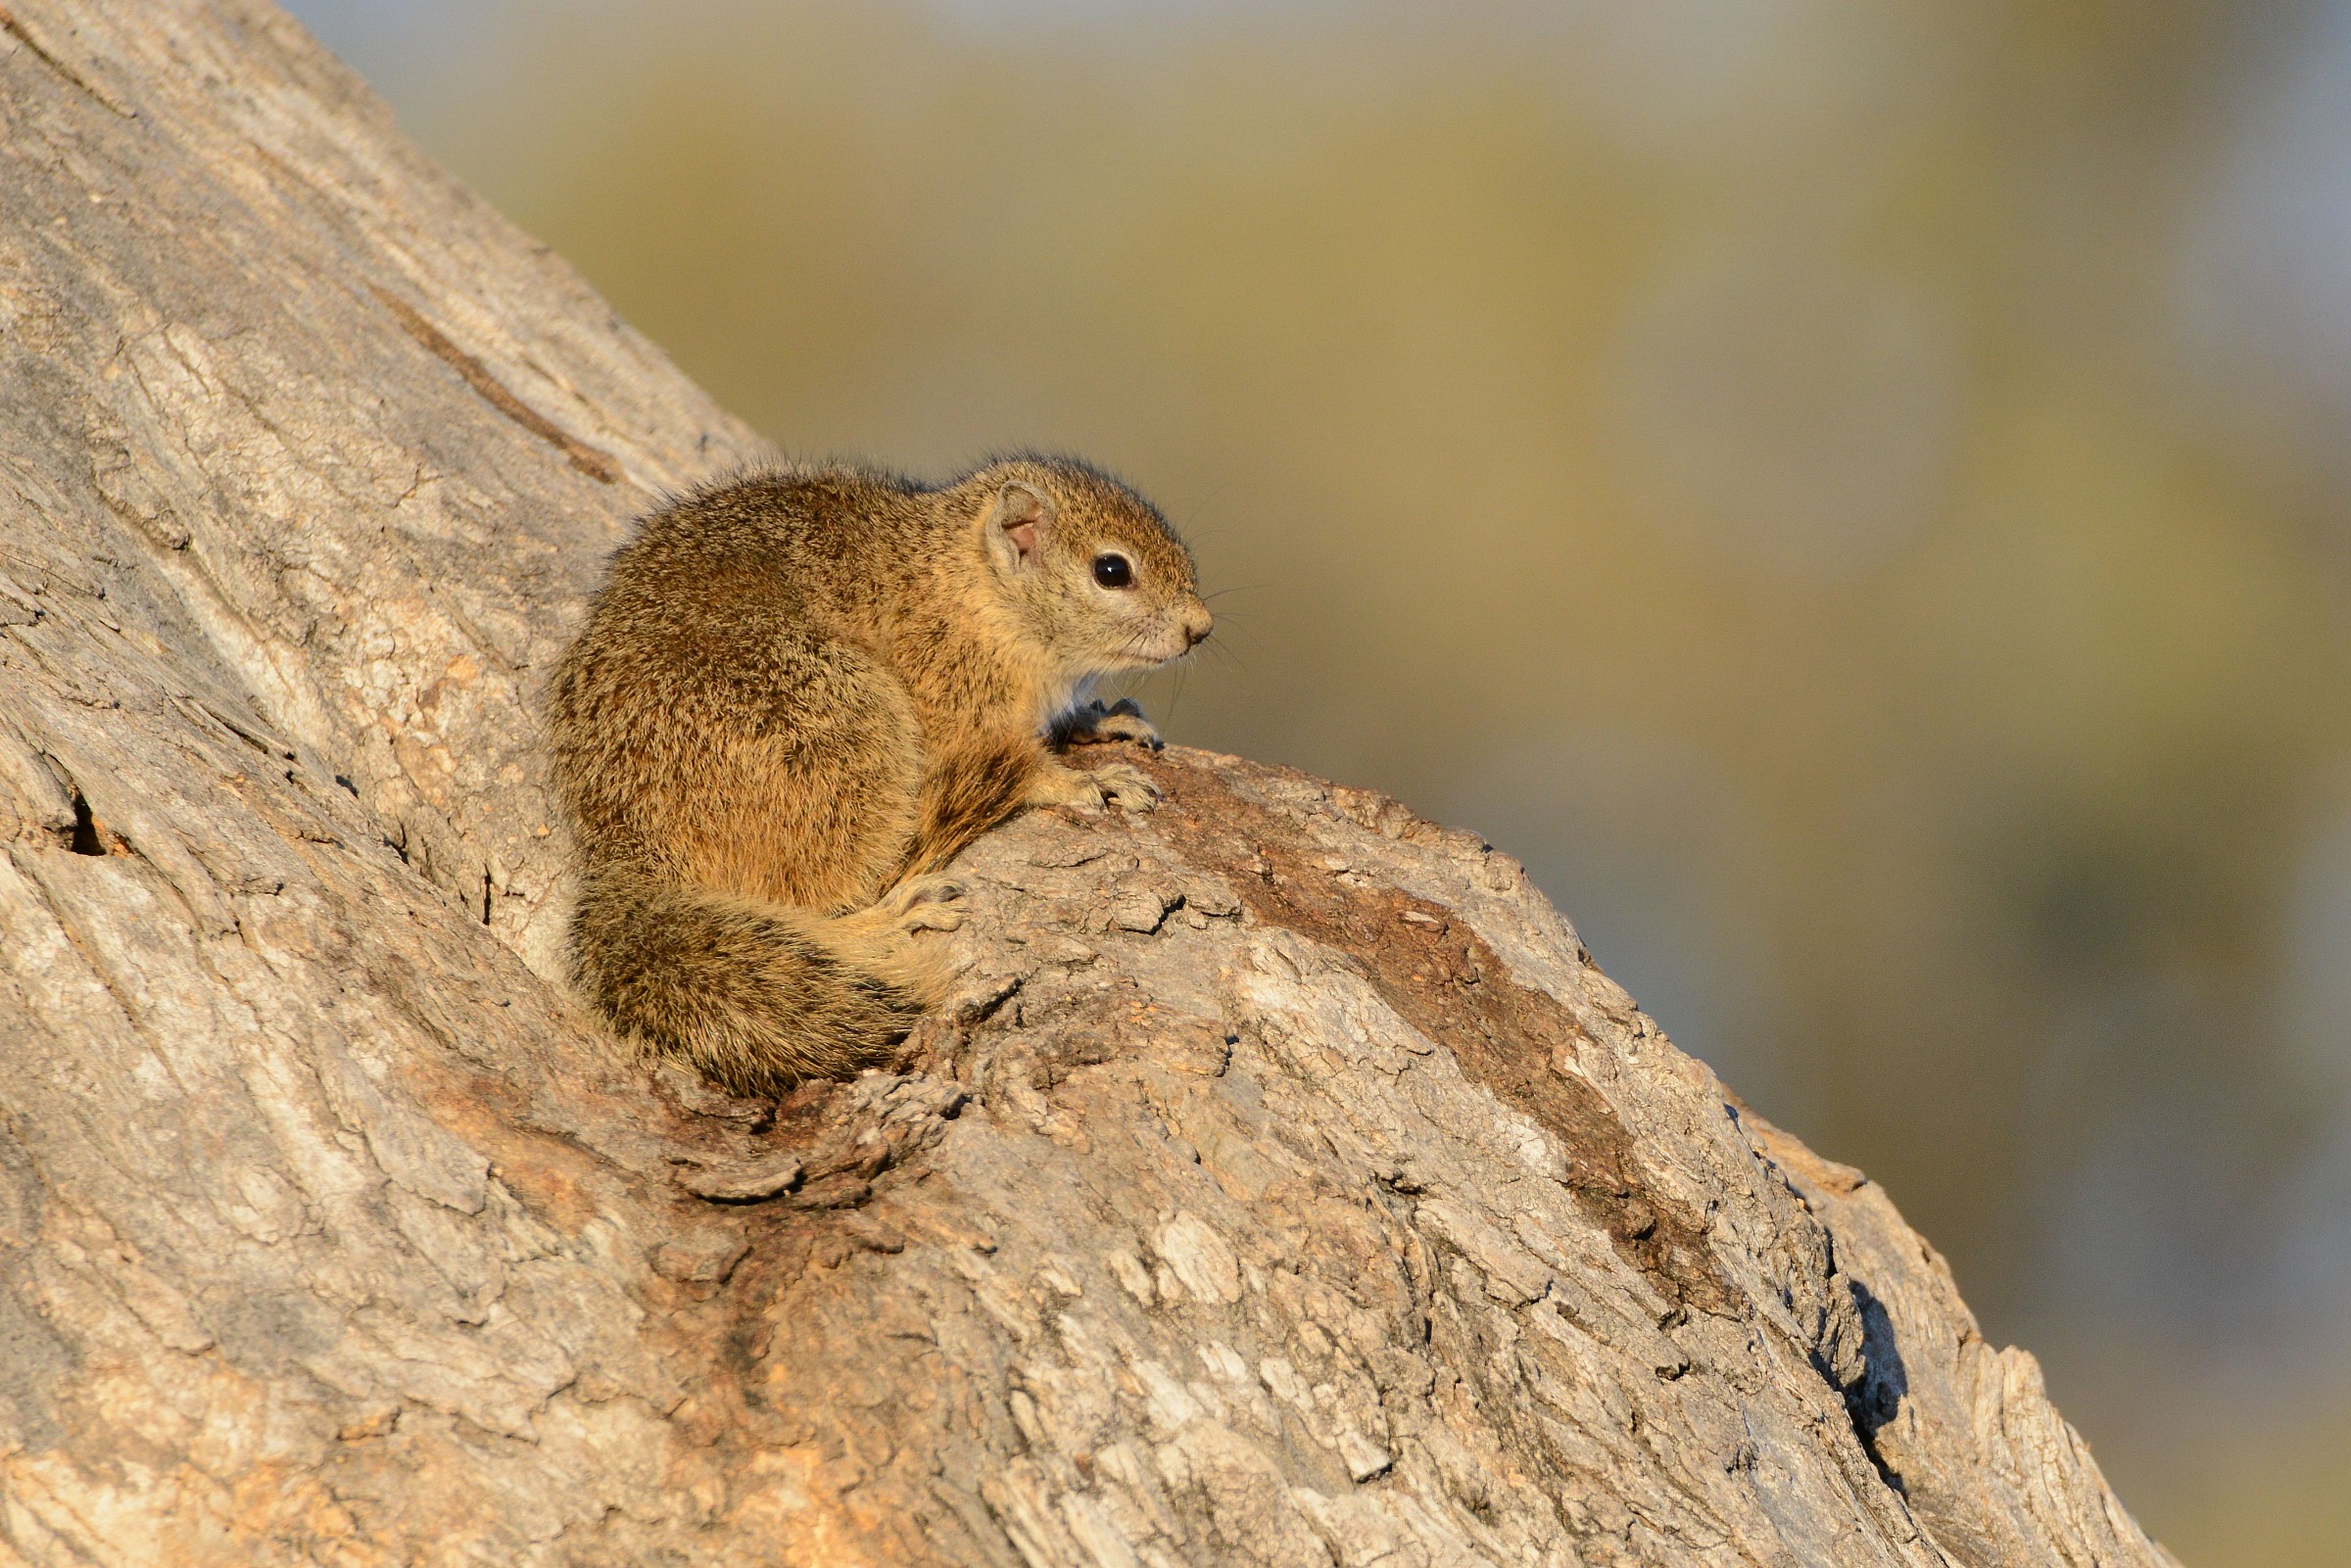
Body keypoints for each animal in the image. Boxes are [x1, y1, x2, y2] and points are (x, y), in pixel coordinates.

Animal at [545, 455, 1212, 1096]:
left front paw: (1104, 721)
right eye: (1112, 571)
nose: (1200, 628)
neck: (975, 589)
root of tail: (629, 852)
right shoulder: (953, 705)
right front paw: (1086, 782)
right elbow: (1023, 767)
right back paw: (891, 917)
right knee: (813, 899)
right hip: (841, 739)